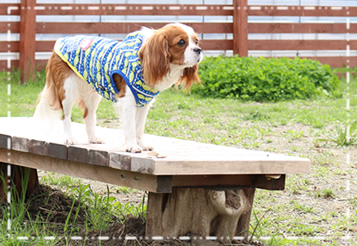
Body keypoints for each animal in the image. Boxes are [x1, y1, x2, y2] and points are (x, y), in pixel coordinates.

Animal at [33, 24, 203, 153]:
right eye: (181, 42)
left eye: (196, 41)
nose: (199, 50)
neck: (143, 59)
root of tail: (61, 41)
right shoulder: (127, 101)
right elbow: (131, 127)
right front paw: (132, 146)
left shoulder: (144, 102)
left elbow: (139, 127)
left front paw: (141, 144)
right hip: (67, 90)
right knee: (66, 116)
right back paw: (69, 138)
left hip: (93, 93)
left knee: (88, 116)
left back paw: (93, 138)